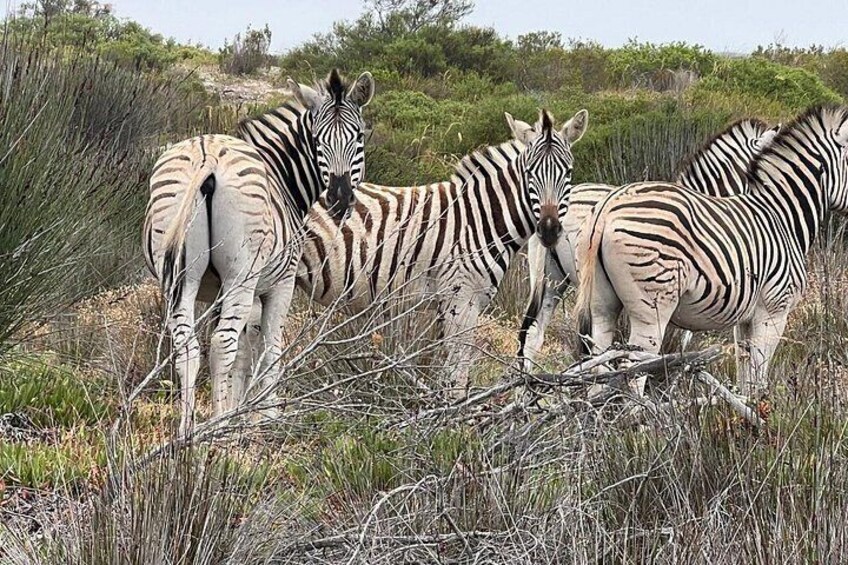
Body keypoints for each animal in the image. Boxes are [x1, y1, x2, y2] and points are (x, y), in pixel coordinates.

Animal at [143, 69, 375, 435]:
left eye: (359, 138)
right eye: (318, 142)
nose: (339, 199)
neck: (282, 177)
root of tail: (207, 155)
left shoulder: (226, 294)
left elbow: (243, 353)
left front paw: (237, 411)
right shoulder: (278, 284)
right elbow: (268, 349)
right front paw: (266, 416)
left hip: (180, 276)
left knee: (188, 346)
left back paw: (187, 431)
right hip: (241, 275)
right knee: (221, 343)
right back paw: (217, 430)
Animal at [295, 108, 588, 392]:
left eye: (568, 172)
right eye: (529, 173)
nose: (549, 230)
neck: (479, 217)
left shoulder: (446, 304)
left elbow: (444, 372)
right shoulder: (461, 299)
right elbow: (457, 375)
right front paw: (456, 410)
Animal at [574, 105, 848, 398]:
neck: (782, 216)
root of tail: (607, 207)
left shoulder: (745, 320)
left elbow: (746, 375)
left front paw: (744, 408)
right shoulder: (774, 311)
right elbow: (760, 373)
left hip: (601, 305)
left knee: (598, 364)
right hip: (651, 308)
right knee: (632, 372)